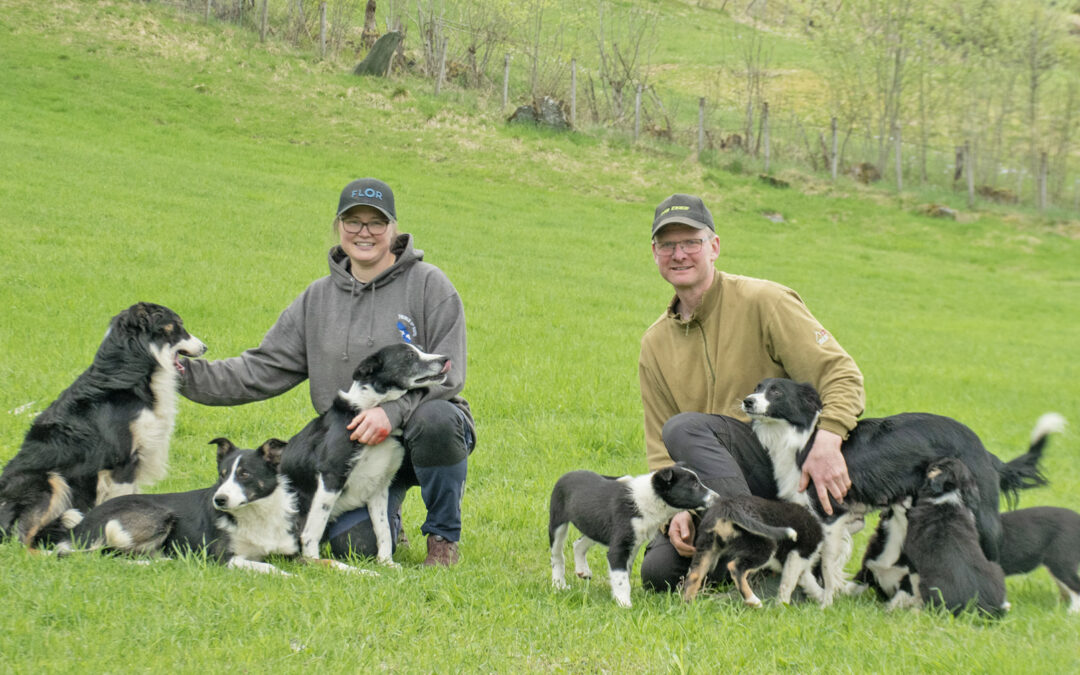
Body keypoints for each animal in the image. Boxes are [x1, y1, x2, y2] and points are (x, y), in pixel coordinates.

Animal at [53, 437, 362, 575]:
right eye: (222, 475)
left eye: (245, 474)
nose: (220, 500)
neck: (256, 515)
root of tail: (82, 523)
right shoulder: (224, 558)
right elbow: (268, 566)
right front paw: (287, 576)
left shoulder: (291, 552)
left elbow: (328, 561)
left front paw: (363, 572)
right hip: (155, 515)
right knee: (101, 555)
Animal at [279, 342, 451, 567]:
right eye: (410, 356)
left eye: (421, 349)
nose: (446, 358)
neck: (368, 408)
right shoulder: (331, 476)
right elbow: (312, 530)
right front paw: (314, 562)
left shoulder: (379, 486)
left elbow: (383, 529)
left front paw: (386, 563)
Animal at [548, 466, 719, 607]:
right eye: (694, 485)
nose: (717, 497)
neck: (652, 499)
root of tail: (568, 474)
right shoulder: (619, 548)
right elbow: (621, 578)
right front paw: (624, 604)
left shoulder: (632, 545)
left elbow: (625, 573)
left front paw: (618, 597)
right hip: (558, 523)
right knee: (557, 556)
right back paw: (559, 585)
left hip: (595, 527)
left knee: (578, 544)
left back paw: (583, 570)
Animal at [681, 496, 824, 607]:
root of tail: (727, 505)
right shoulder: (798, 555)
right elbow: (788, 583)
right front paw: (782, 606)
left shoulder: (800, 564)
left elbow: (810, 583)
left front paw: (823, 602)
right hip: (764, 547)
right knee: (735, 568)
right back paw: (753, 601)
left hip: (707, 547)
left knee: (694, 575)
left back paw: (689, 606)